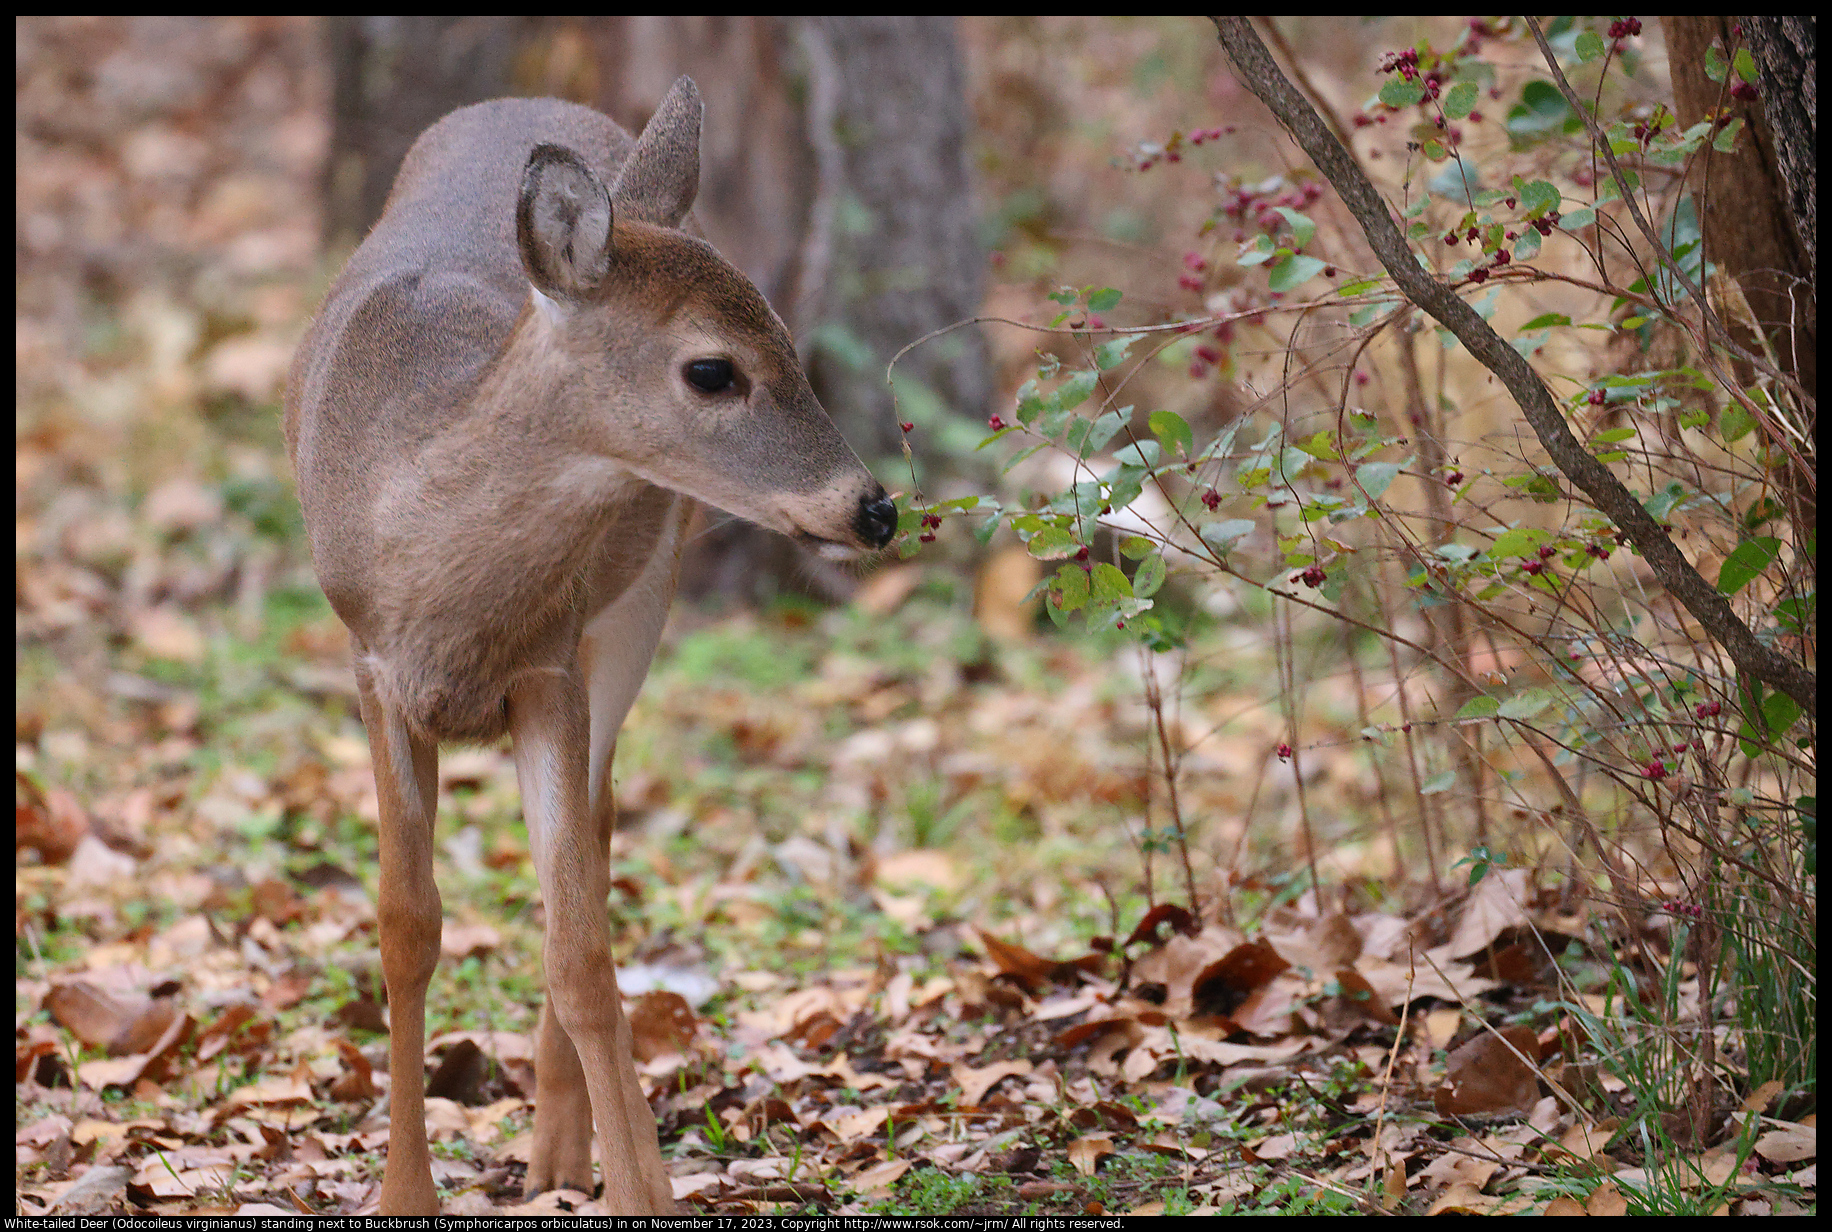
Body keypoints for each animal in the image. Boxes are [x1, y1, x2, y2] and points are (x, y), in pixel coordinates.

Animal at [280, 81, 901, 1217]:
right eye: (713, 368)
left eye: (791, 339)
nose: (873, 509)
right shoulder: (371, 666)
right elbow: (406, 925)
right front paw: (405, 1192)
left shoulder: (553, 664)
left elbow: (578, 948)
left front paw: (638, 1189)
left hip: (642, 599)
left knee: (603, 837)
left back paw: (562, 1153)